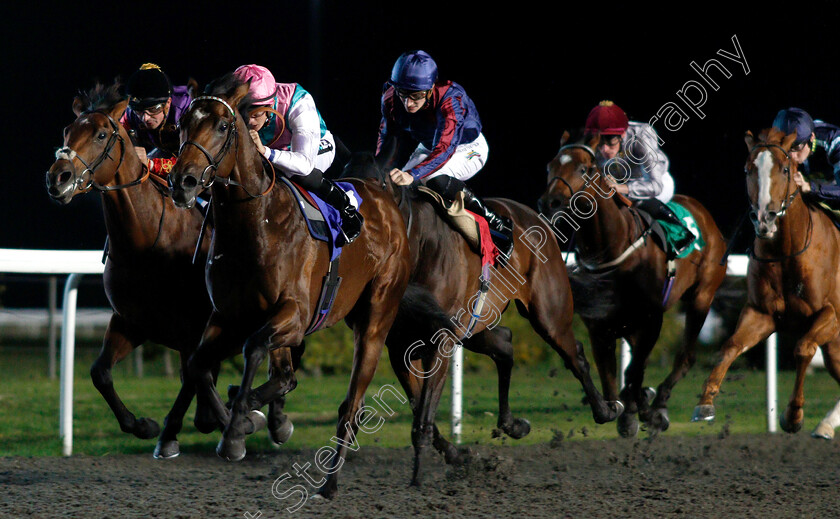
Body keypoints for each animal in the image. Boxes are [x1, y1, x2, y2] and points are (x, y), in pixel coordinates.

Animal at [45, 84, 298, 460]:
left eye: (101, 134)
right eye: (67, 131)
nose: (57, 178)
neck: (146, 242)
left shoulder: (196, 326)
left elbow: (197, 377)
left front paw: (236, 423)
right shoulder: (132, 321)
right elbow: (100, 372)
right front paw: (147, 427)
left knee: (282, 366)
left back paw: (270, 416)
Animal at [167, 74, 426, 500]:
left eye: (222, 126)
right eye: (183, 124)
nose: (182, 182)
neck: (257, 224)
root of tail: (382, 197)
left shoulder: (295, 314)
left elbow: (253, 349)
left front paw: (236, 432)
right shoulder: (227, 314)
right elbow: (199, 365)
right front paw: (236, 420)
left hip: (375, 321)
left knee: (350, 406)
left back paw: (330, 482)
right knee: (286, 376)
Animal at [342, 144, 624, 486]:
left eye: (375, 188)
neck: (419, 249)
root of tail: (535, 216)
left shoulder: (442, 341)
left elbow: (423, 416)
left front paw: (418, 477)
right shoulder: (400, 349)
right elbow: (419, 407)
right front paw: (456, 454)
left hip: (548, 313)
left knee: (575, 355)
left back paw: (606, 410)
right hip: (477, 327)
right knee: (505, 346)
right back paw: (512, 424)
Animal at [540, 131, 728, 438]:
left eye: (584, 169)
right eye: (550, 166)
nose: (549, 202)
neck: (614, 247)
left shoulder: (652, 318)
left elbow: (633, 371)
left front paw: (637, 414)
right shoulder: (601, 327)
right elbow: (611, 380)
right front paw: (630, 410)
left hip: (702, 295)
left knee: (685, 357)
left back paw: (660, 404)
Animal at [688, 129, 840, 430]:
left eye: (785, 169)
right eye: (748, 169)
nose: (764, 220)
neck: (786, 252)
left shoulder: (831, 315)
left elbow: (804, 348)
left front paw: (792, 415)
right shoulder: (762, 313)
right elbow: (730, 347)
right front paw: (705, 403)